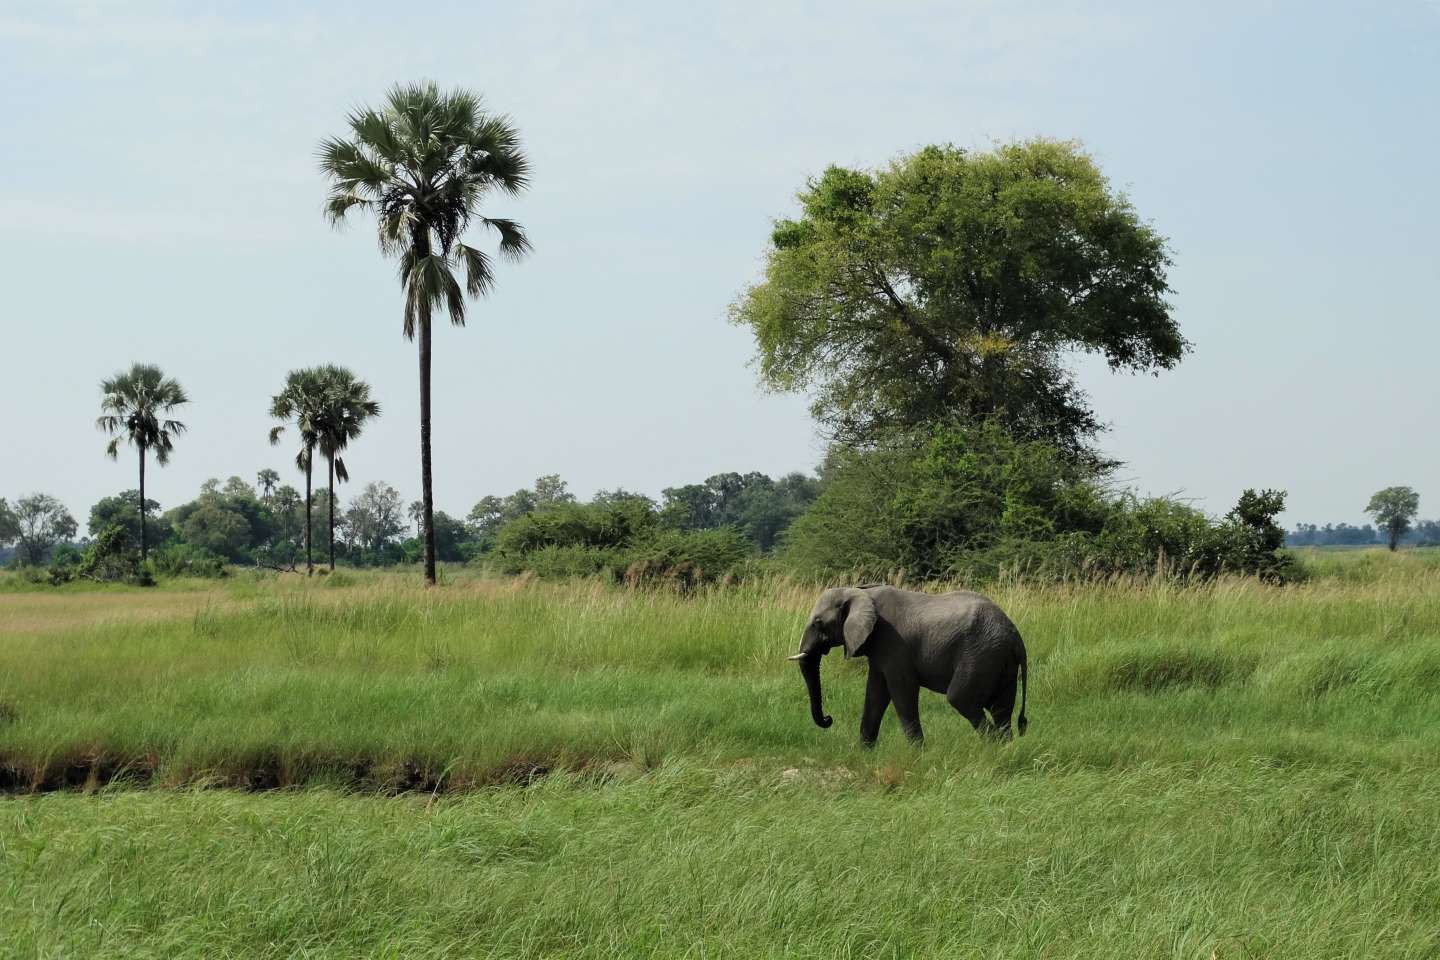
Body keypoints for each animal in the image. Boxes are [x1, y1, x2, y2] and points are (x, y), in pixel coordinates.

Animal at [789, 587, 1025, 742]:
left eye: (819, 622)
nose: (828, 719)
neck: (860, 591)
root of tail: (1015, 635)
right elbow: (875, 692)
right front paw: (864, 751)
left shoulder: (894, 643)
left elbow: (901, 689)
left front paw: (918, 753)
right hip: (998, 658)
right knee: (1001, 708)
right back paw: (1005, 748)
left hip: (980, 654)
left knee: (961, 699)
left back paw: (992, 747)